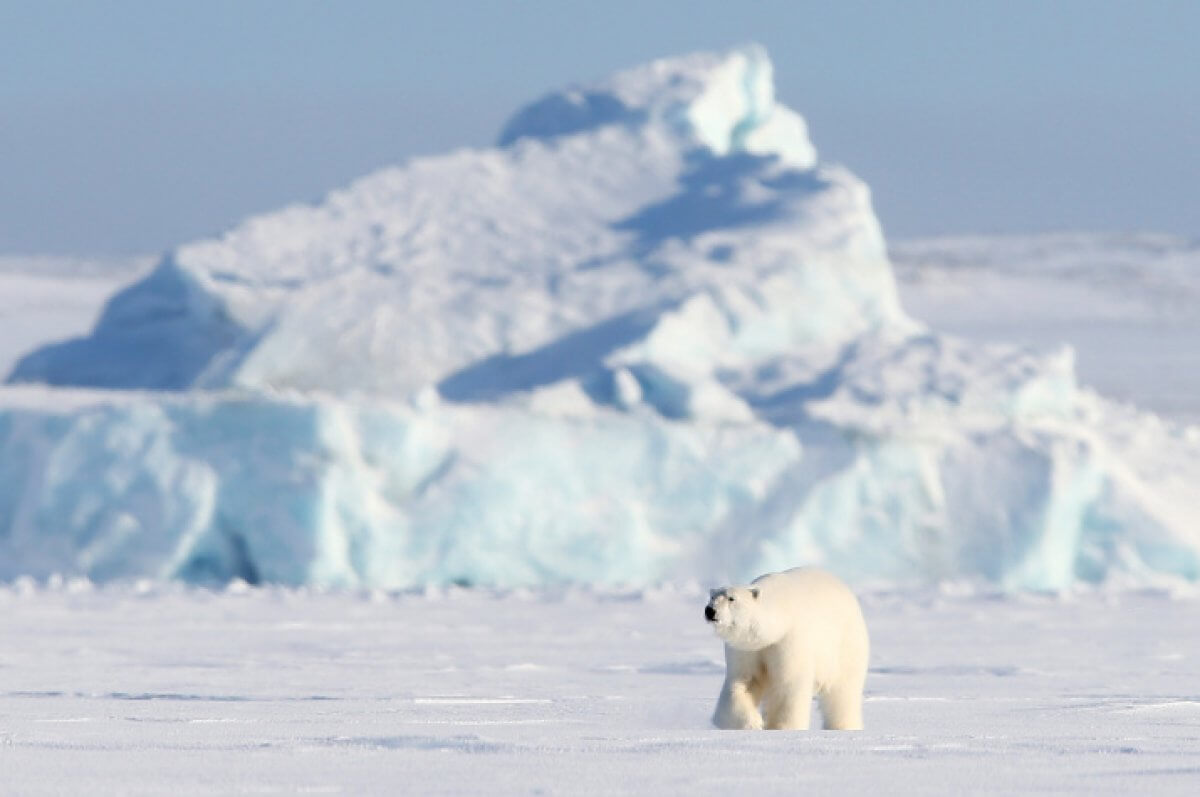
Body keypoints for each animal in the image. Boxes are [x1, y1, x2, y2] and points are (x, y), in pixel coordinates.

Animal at [705, 566, 868, 729]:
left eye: (731, 598)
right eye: (712, 597)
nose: (710, 610)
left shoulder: (789, 639)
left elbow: (788, 684)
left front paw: (782, 726)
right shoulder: (748, 649)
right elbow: (744, 681)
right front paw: (752, 722)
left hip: (845, 643)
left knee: (843, 691)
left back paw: (843, 725)